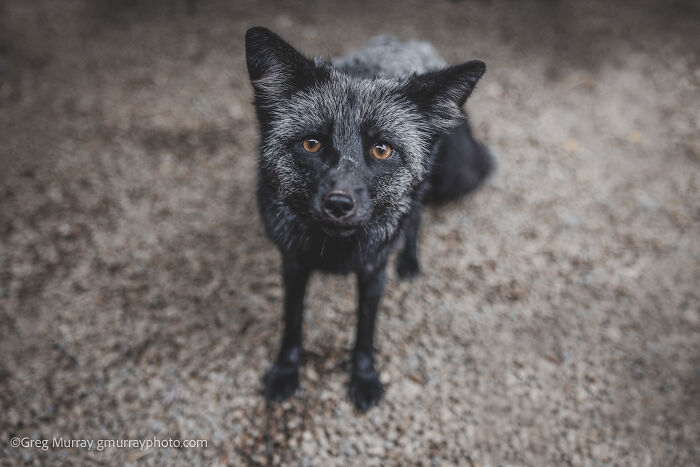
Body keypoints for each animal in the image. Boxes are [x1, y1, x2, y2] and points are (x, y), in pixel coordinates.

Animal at [245, 27, 493, 411]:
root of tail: (408, 41)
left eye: (381, 150)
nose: (338, 204)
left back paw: (410, 260)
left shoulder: (374, 272)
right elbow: (292, 323)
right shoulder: (292, 264)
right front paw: (286, 371)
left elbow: (365, 332)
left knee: (418, 208)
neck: (333, 249)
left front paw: (364, 378)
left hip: (455, 175)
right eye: (311, 144)